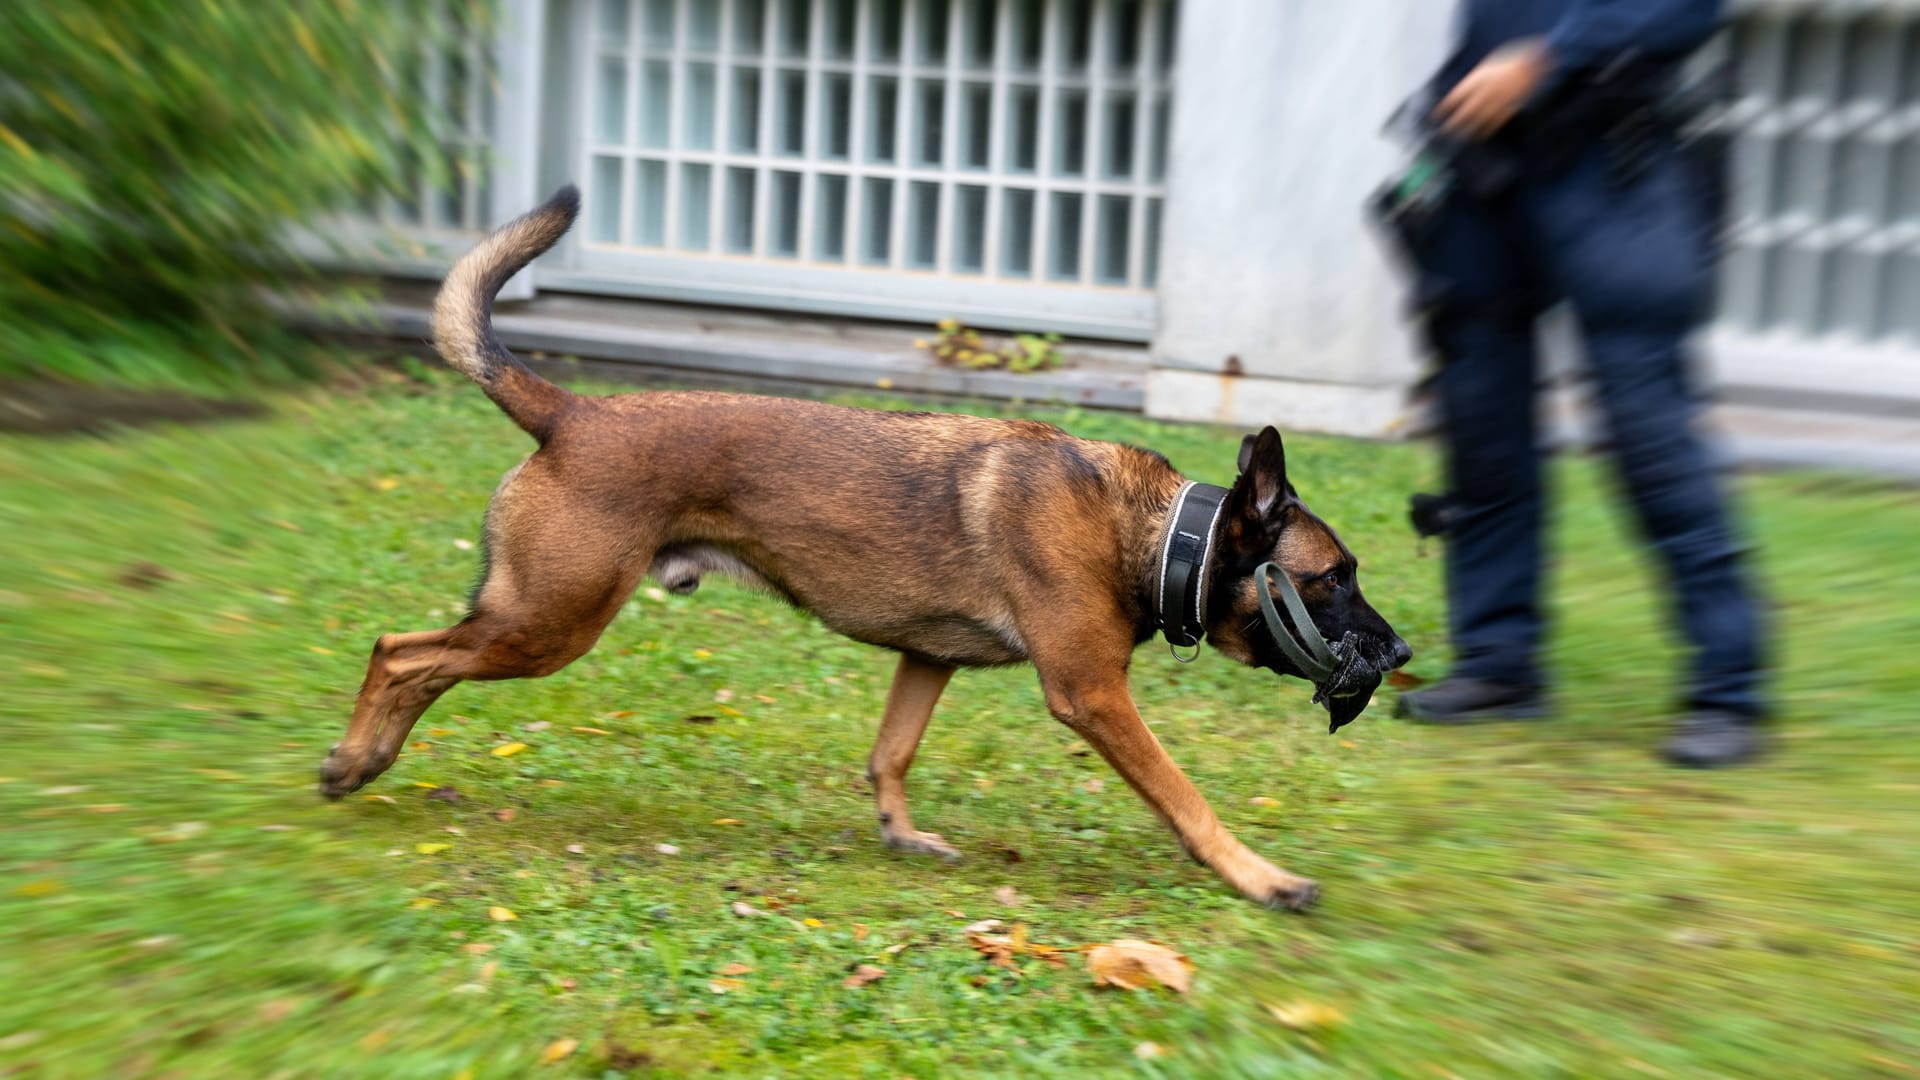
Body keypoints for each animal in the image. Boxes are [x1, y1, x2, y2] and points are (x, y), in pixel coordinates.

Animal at [322, 187, 1413, 907]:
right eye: (1334, 578)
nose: (1402, 653)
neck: (1147, 529)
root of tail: (572, 413)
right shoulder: (1094, 696)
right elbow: (1187, 798)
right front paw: (1259, 876)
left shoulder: (925, 661)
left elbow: (891, 754)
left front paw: (901, 832)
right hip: (549, 621)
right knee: (401, 653)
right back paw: (354, 759)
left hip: (534, 617)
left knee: (422, 660)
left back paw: (366, 758)